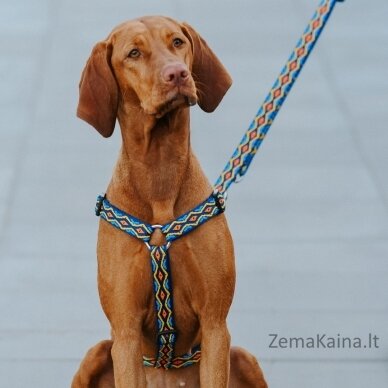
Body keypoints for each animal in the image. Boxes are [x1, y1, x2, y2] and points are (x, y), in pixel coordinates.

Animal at [74, 15, 266, 388]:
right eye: (133, 53)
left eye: (178, 42)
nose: (177, 73)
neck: (159, 168)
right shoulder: (126, 332)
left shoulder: (215, 325)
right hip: (96, 353)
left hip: (245, 357)